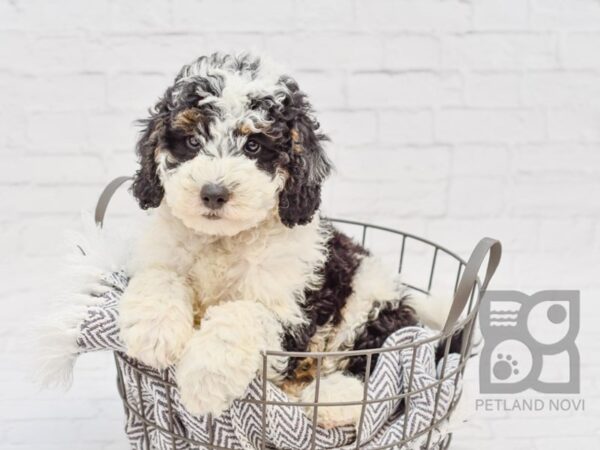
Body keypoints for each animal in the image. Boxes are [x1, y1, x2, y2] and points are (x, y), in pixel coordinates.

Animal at [119, 51, 438, 426]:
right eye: (193, 141)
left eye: (254, 145)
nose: (213, 193)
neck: (223, 240)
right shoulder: (162, 255)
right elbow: (160, 276)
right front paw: (153, 332)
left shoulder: (292, 313)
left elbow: (244, 313)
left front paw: (204, 377)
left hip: (367, 299)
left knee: (377, 355)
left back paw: (333, 399)